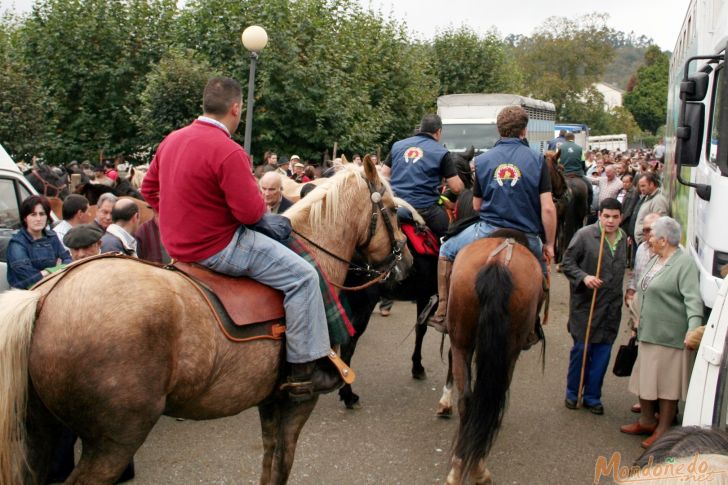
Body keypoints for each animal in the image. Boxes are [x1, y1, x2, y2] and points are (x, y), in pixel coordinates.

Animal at [0, 156, 410, 484]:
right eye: (392, 209)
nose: (404, 262)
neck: (315, 255)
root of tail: (44, 295)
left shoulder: (270, 401)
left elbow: (269, 463)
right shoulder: (297, 403)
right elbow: (282, 466)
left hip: (38, 435)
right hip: (114, 441)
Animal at [338, 148, 474, 408]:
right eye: (467, 172)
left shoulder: (424, 295)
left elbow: (420, 329)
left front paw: (416, 365)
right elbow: (422, 330)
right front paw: (418, 366)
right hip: (362, 302)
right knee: (348, 343)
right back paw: (347, 394)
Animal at [444, 233, 544, 482]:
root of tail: (499, 263)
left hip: (463, 339)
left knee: (470, 399)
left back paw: (463, 464)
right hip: (507, 350)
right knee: (491, 395)